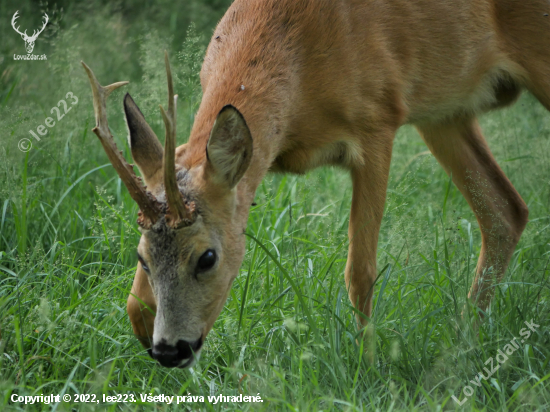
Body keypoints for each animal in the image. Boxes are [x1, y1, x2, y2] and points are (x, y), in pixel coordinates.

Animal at [81, 0, 548, 368]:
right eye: (141, 256)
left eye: (207, 257)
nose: (169, 350)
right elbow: (133, 302)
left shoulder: (378, 120)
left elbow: (360, 271)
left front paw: (368, 369)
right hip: (445, 110)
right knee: (506, 210)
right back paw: (464, 347)